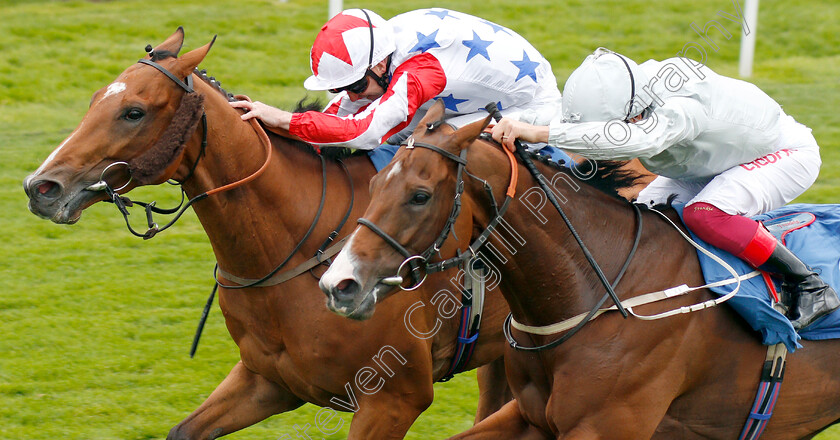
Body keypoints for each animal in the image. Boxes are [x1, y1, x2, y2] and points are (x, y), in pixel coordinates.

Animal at [23, 29, 512, 438]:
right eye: (93, 100)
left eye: (133, 112)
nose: (40, 187)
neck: (292, 251)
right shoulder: (268, 380)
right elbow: (184, 430)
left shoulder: (393, 399)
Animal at [318, 100, 840, 440]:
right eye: (375, 185)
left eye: (420, 195)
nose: (339, 284)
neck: (597, 290)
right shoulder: (530, 417)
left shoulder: (605, 425)